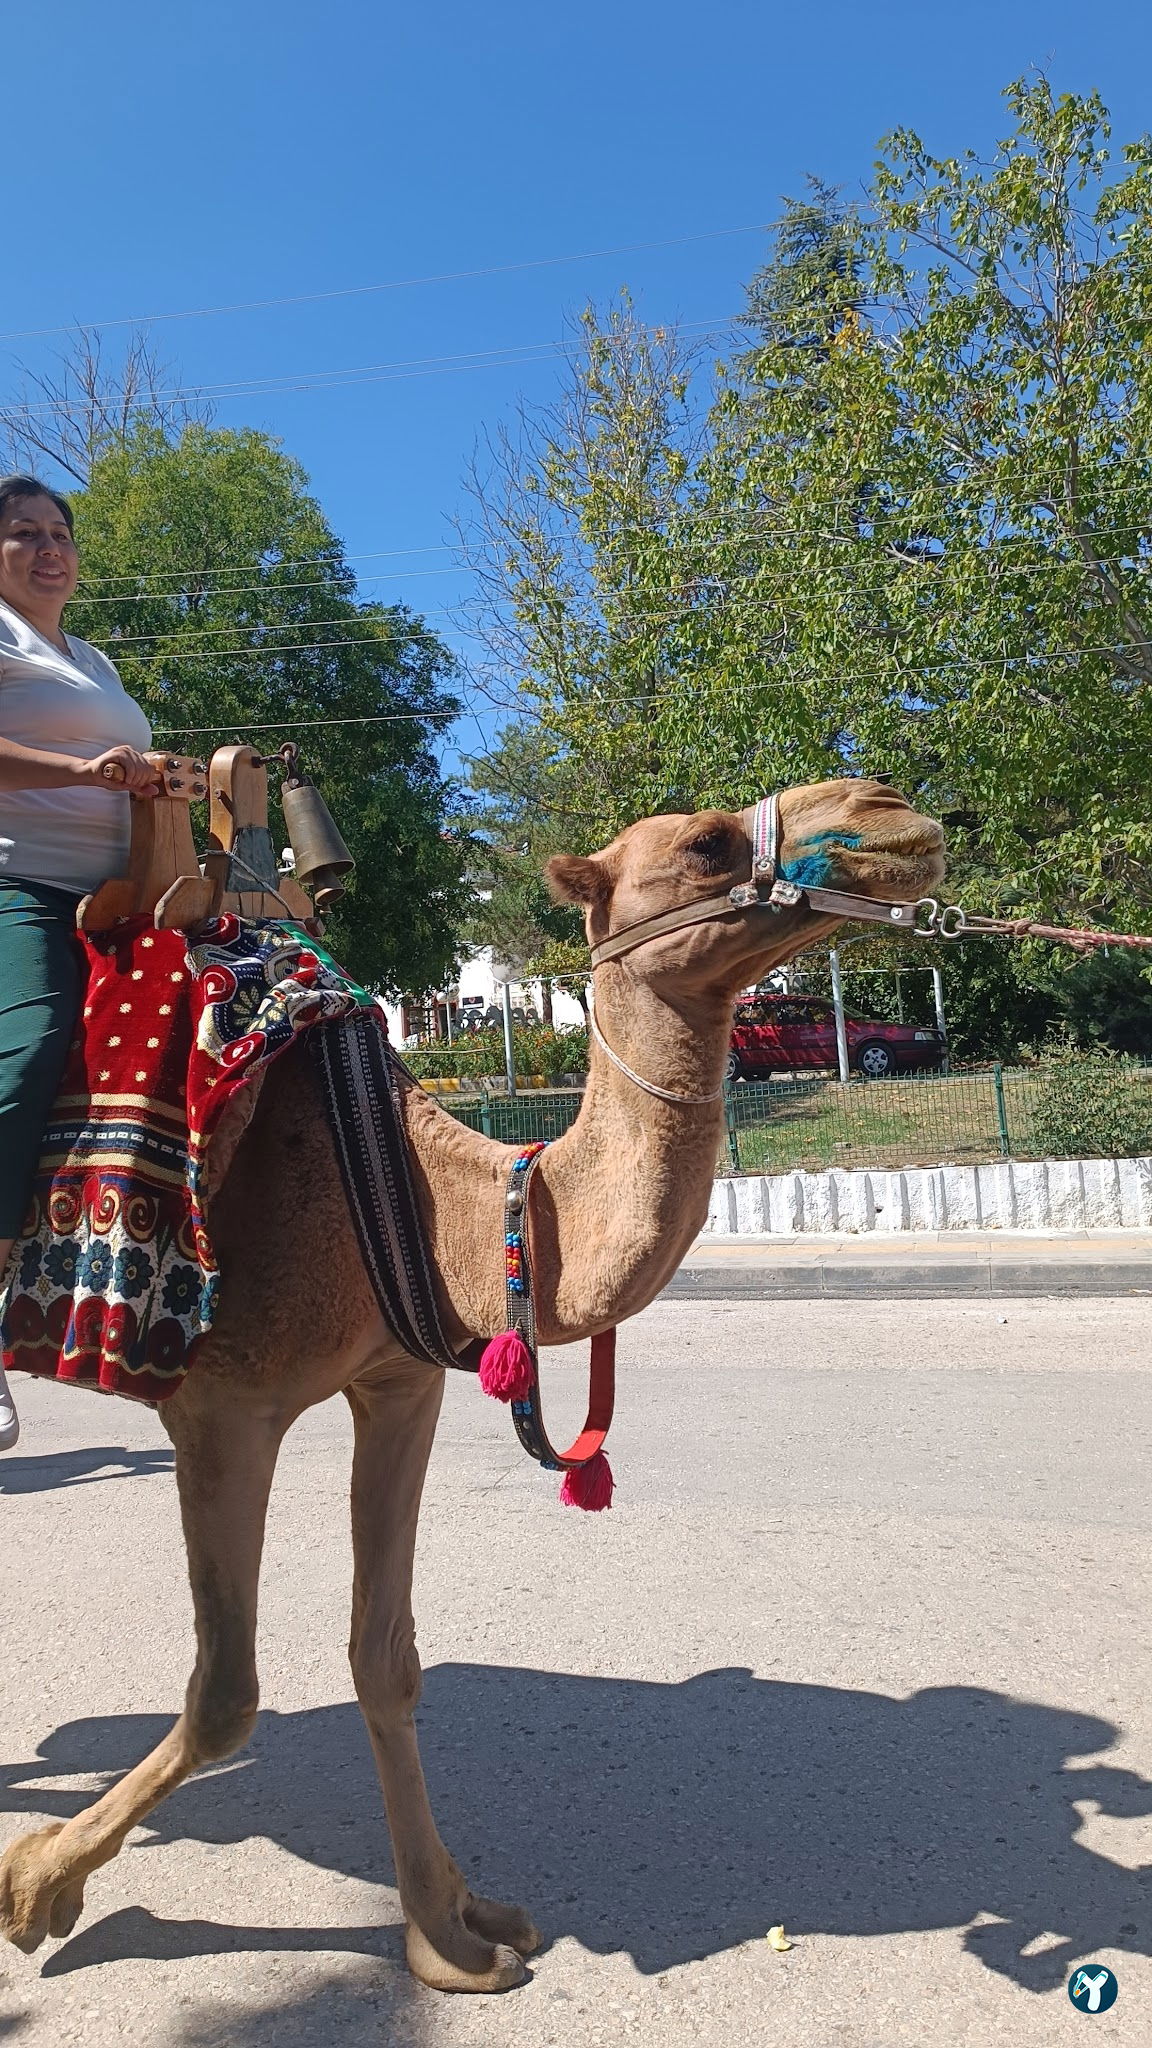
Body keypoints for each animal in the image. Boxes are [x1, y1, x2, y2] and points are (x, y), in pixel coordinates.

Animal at [0, 770, 942, 1982]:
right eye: (704, 843)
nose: (889, 806)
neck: (416, 1190)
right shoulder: (225, 1409)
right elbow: (226, 1694)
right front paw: (39, 1885)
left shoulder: (401, 1384)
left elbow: (385, 1655)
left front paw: (452, 1929)